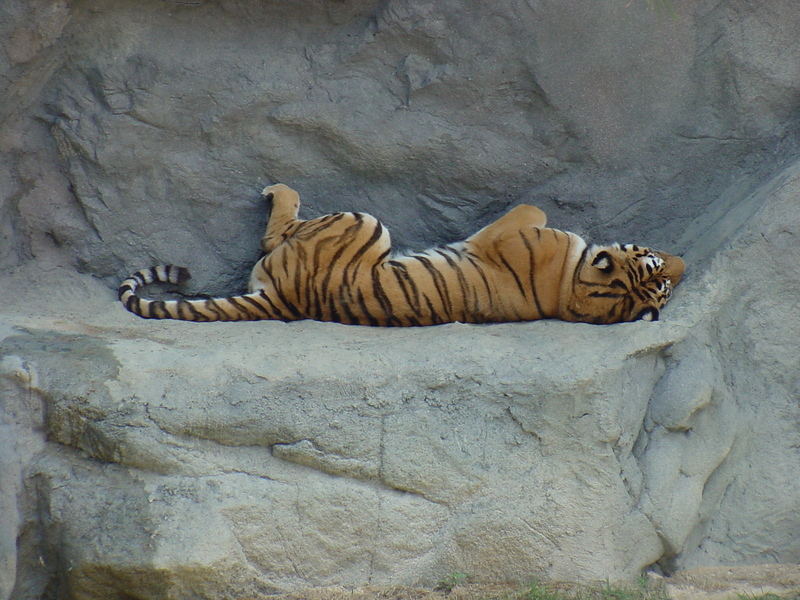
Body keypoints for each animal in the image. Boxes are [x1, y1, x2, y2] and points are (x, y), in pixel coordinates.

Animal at [122, 183, 684, 326]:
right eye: (661, 269)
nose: (686, 263)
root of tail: (285, 299)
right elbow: (536, 206)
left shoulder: (503, 234)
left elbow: (533, 206)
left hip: (361, 222)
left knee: (276, 232)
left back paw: (276, 189)